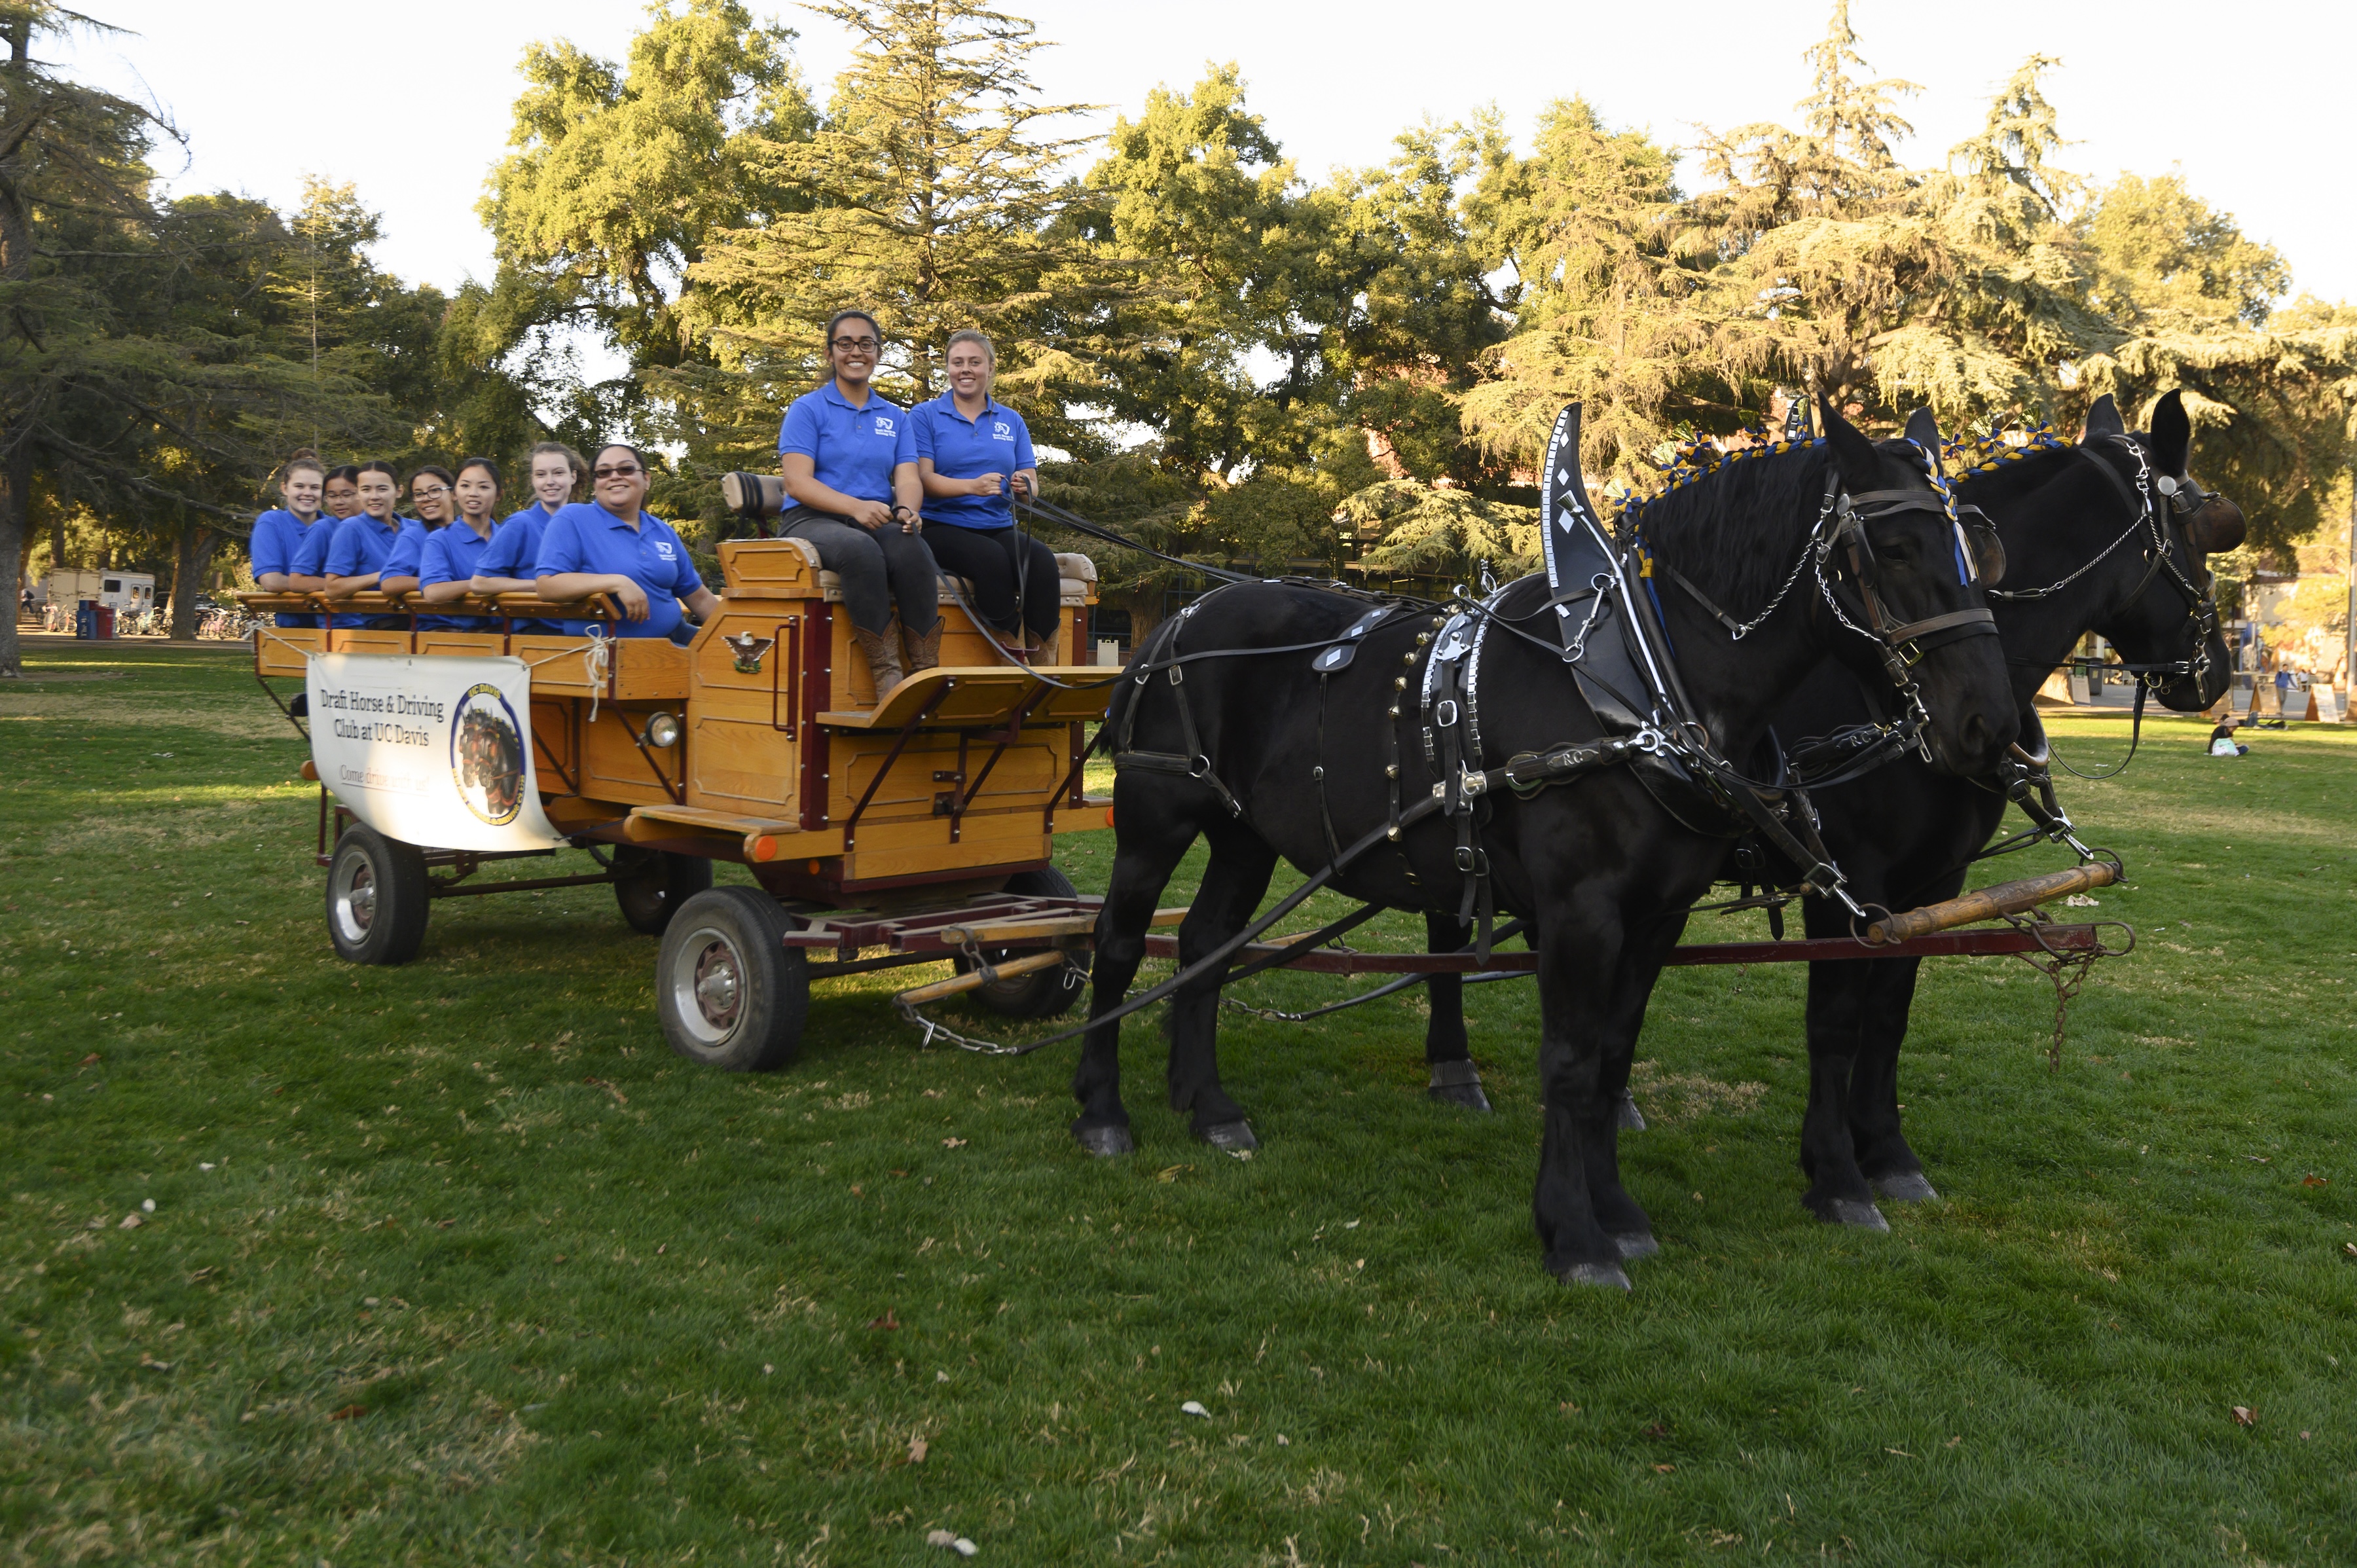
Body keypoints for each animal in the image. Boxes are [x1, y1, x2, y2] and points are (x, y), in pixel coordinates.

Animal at [1079, 403, 2017, 1283]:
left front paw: (1620, 1212)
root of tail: (1180, 616)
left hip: (1245, 833)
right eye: (1894, 549)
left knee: (1205, 944)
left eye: (1980, 549)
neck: (1639, 682)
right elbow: (1569, 1062)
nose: (1992, 725)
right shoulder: (1581, 911)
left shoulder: (1658, 916)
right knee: (1119, 943)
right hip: (1156, 817)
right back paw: (1103, 1112)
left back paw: (1207, 1105)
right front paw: (1574, 1233)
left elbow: (1612, 1057)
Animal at [1414, 389, 2244, 1226]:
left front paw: (1889, 1153)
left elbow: (1889, 1016)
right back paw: (1456, 1068)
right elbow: (1836, 1022)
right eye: (2206, 531)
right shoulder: (1851, 878)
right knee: (1448, 934)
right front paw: (1839, 1172)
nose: (2216, 674)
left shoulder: (1933, 883)